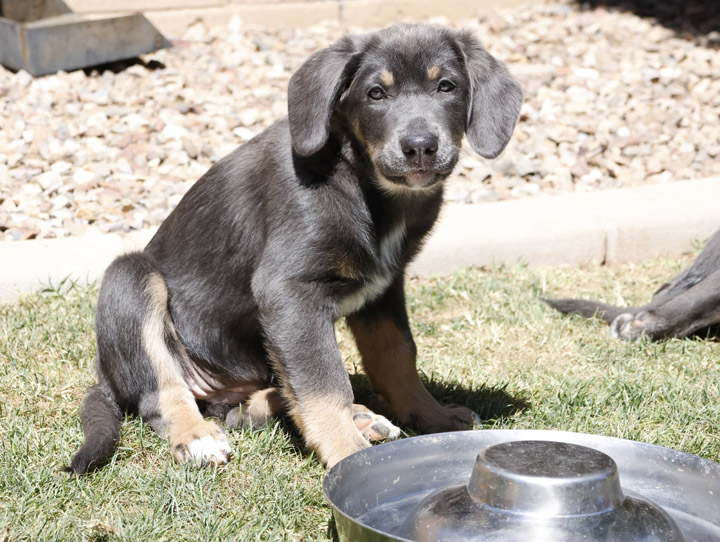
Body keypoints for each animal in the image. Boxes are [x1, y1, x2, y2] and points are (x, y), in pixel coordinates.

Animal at [69, 24, 524, 476]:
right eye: (376, 93)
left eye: (446, 87)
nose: (420, 147)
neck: (362, 181)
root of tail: (105, 377)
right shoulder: (289, 291)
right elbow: (324, 382)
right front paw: (349, 454)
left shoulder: (384, 287)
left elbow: (396, 355)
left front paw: (431, 415)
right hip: (132, 279)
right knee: (162, 393)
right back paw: (196, 436)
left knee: (244, 407)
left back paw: (341, 413)